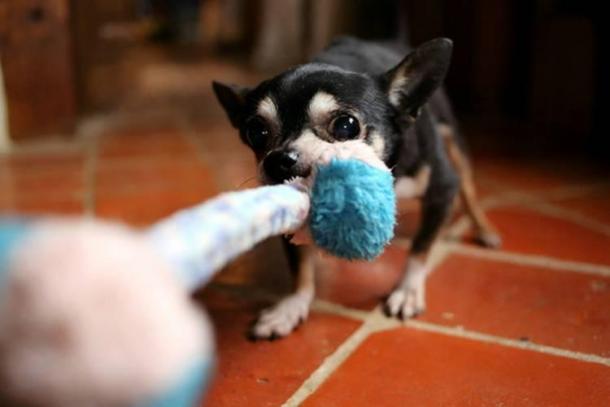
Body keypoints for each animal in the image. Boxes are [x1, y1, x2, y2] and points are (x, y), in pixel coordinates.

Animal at [211, 36, 496, 340]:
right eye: (255, 132)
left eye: (346, 126)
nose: (279, 160)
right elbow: (300, 266)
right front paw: (293, 305)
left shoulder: (443, 187)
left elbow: (420, 249)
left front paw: (407, 290)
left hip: (453, 141)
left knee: (468, 189)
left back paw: (483, 229)